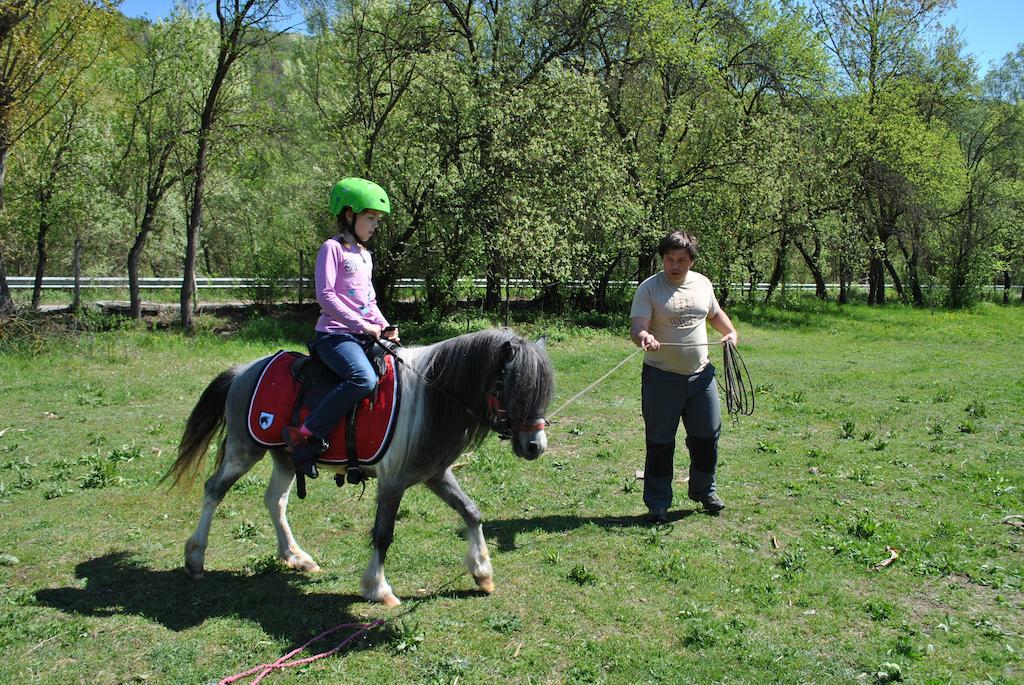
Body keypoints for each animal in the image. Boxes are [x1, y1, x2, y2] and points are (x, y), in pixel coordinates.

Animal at [164, 327, 557, 606]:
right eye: (512, 388)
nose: (535, 446)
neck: (432, 398)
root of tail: (244, 370)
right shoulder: (393, 482)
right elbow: (383, 534)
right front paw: (377, 588)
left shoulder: (435, 474)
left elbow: (471, 512)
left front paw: (482, 572)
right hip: (245, 450)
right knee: (214, 489)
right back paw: (195, 558)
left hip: (285, 457)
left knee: (274, 501)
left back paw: (295, 557)